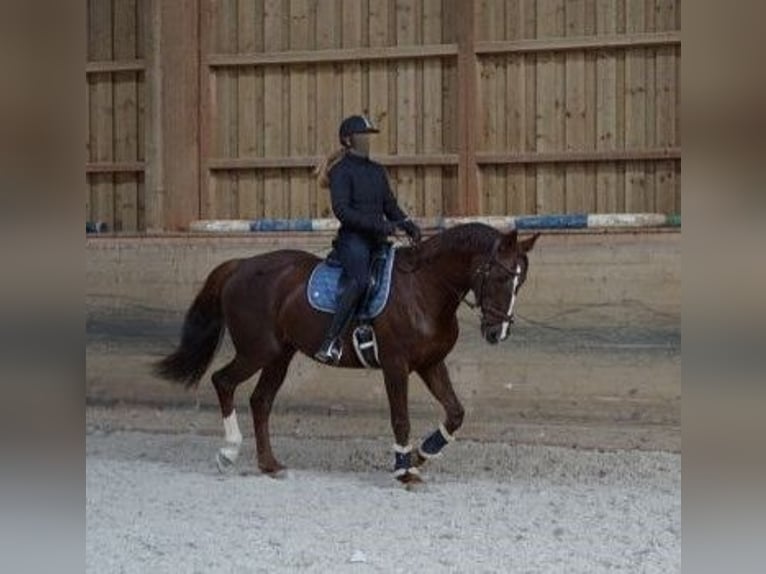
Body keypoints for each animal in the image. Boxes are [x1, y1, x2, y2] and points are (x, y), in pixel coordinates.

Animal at [154, 223, 540, 484]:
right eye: (501, 278)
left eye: (520, 282)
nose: (498, 333)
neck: (425, 288)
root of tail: (241, 264)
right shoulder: (396, 365)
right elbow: (400, 417)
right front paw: (403, 469)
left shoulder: (431, 363)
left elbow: (456, 413)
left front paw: (420, 456)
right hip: (257, 350)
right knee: (223, 381)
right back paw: (229, 452)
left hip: (280, 355)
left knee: (260, 401)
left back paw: (270, 465)